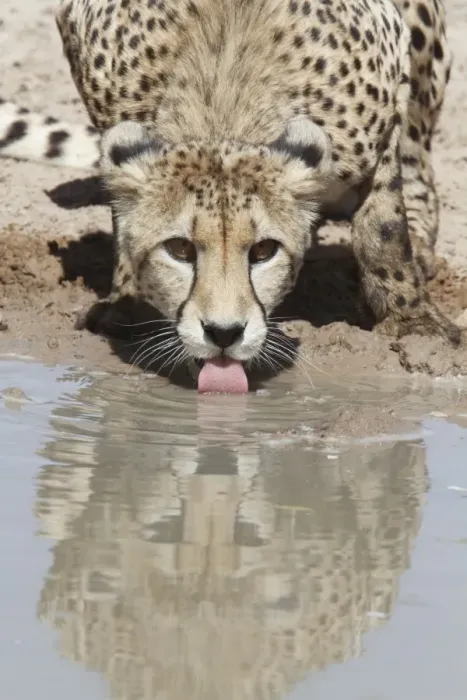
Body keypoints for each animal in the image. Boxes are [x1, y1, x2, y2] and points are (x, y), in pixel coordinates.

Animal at [0, 0, 460, 390]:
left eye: (264, 251)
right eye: (180, 249)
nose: (223, 333)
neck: (223, 95)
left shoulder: (388, 83)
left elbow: (383, 229)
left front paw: (411, 319)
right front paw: (126, 301)